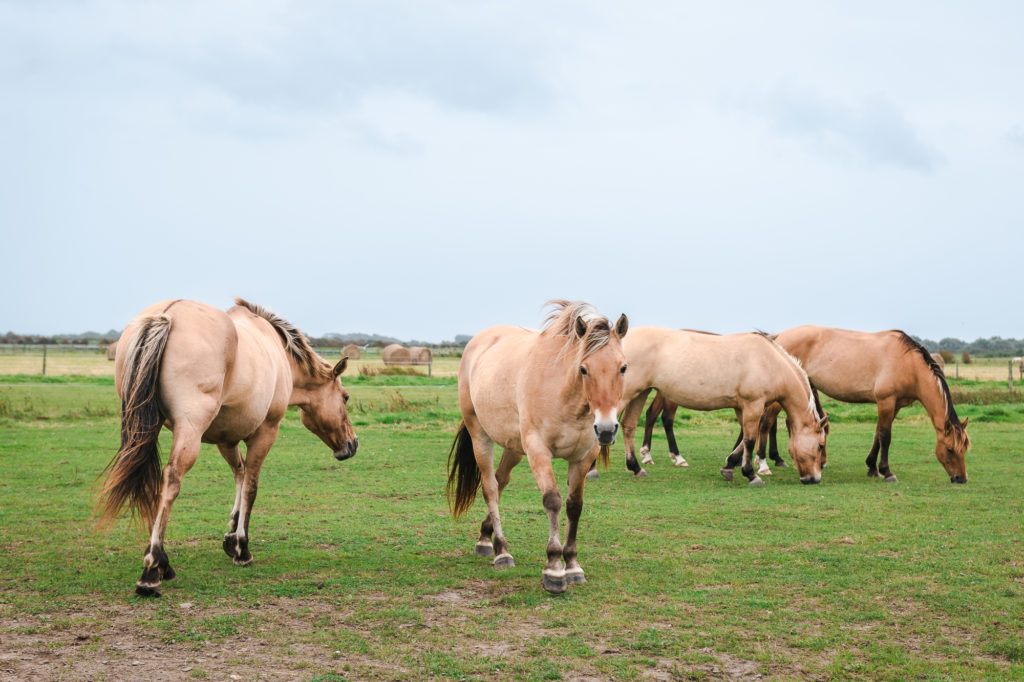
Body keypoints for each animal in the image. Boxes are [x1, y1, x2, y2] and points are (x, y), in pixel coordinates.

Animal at [96, 296, 360, 589]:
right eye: (345, 397)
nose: (353, 444)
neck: (278, 353)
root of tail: (166, 315)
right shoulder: (266, 432)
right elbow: (251, 487)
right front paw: (242, 548)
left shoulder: (227, 440)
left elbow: (240, 476)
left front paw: (231, 536)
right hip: (189, 431)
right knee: (171, 480)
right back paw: (153, 568)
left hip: (145, 427)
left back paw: (163, 561)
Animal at [450, 296, 630, 589]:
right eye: (583, 369)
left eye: (623, 367)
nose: (605, 429)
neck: (565, 396)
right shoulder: (538, 450)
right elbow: (552, 501)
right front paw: (554, 568)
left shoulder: (583, 457)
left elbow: (574, 506)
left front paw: (573, 565)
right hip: (480, 435)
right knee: (490, 487)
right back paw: (501, 551)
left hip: (513, 447)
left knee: (501, 481)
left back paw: (486, 539)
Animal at [610, 327, 827, 481]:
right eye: (820, 446)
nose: (814, 478)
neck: (769, 362)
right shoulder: (753, 405)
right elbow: (750, 439)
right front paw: (751, 473)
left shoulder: (742, 408)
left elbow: (745, 439)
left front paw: (730, 465)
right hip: (625, 395)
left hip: (640, 394)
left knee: (628, 426)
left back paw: (636, 467)